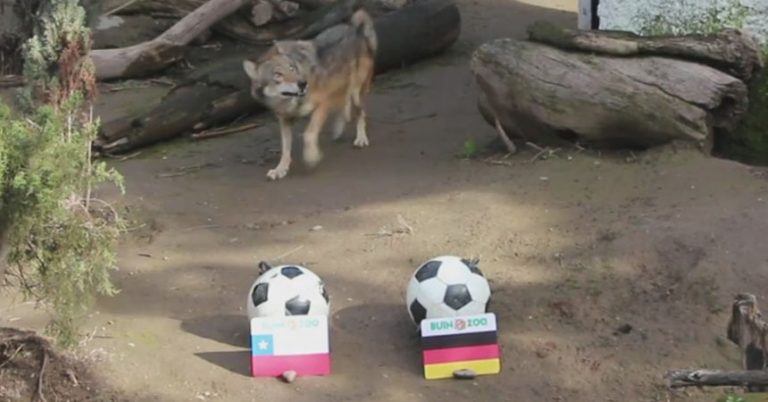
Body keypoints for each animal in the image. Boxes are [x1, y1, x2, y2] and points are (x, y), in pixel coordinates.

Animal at [242, 9, 378, 180]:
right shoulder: (284, 120)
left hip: (356, 93)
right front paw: (280, 169)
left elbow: (308, 134)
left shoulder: (323, 104)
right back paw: (339, 129)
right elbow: (285, 149)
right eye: (278, 75)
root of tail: (355, 28)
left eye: (292, 68)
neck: (290, 103)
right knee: (343, 105)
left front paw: (311, 157)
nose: (303, 83)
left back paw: (360, 138)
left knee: (360, 113)